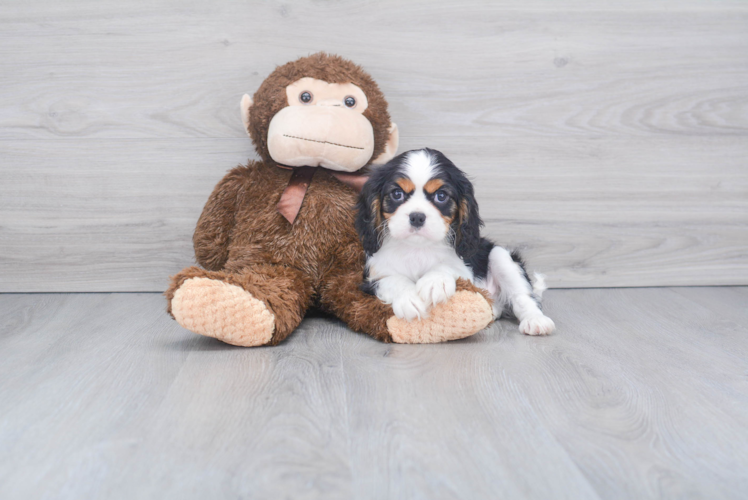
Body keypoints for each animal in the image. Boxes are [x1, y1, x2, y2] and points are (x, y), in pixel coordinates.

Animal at [356, 147, 556, 336]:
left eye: (441, 196)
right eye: (397, 194)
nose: (417, 217)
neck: (418, 248)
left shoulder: (465, 268)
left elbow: (448, 266)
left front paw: (435, 282)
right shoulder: (370, 278)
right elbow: (392, 279)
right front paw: (409, 298)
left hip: (500, 256)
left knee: (523, 296)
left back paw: (535, 321)